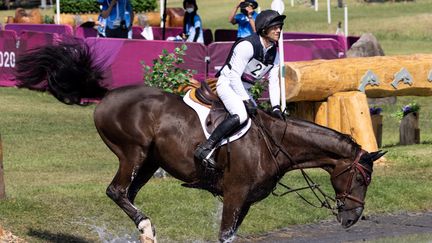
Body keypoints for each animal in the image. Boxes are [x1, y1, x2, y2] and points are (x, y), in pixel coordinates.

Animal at [15, 42, 384, 242]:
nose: (352, 219)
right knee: (116, 191)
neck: (274, 144)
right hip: (133, 152)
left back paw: (144, 231)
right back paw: (146, 228)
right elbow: (224, 234)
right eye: (362, 178)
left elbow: (232, 235)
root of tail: (107, 94)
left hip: (150, 161)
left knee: (127, 194)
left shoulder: (245, 201)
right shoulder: (235, 193)